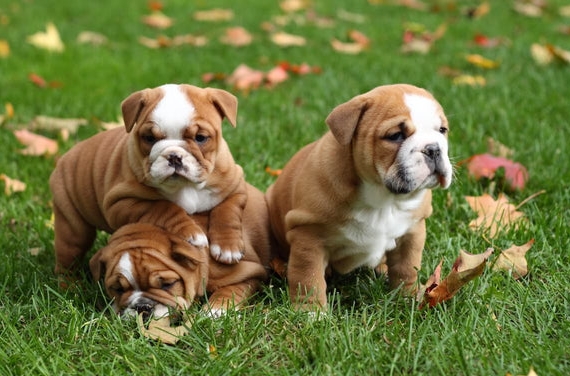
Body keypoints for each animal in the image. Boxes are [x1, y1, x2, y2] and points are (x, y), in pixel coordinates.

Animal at [90, 182, 272, 318]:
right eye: (118, 289)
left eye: (168, 285)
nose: (143, 307)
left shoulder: (250, 273)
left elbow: (230, 290)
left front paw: (215, 311)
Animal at [264, 83, 450, 310]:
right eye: (395, 135)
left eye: (442, 130)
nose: (433, 148)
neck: (384, 199)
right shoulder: (309, 237)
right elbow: (308, 278)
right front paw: (310, 311)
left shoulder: (412, 232)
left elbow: (407, 268)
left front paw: (408, 298)